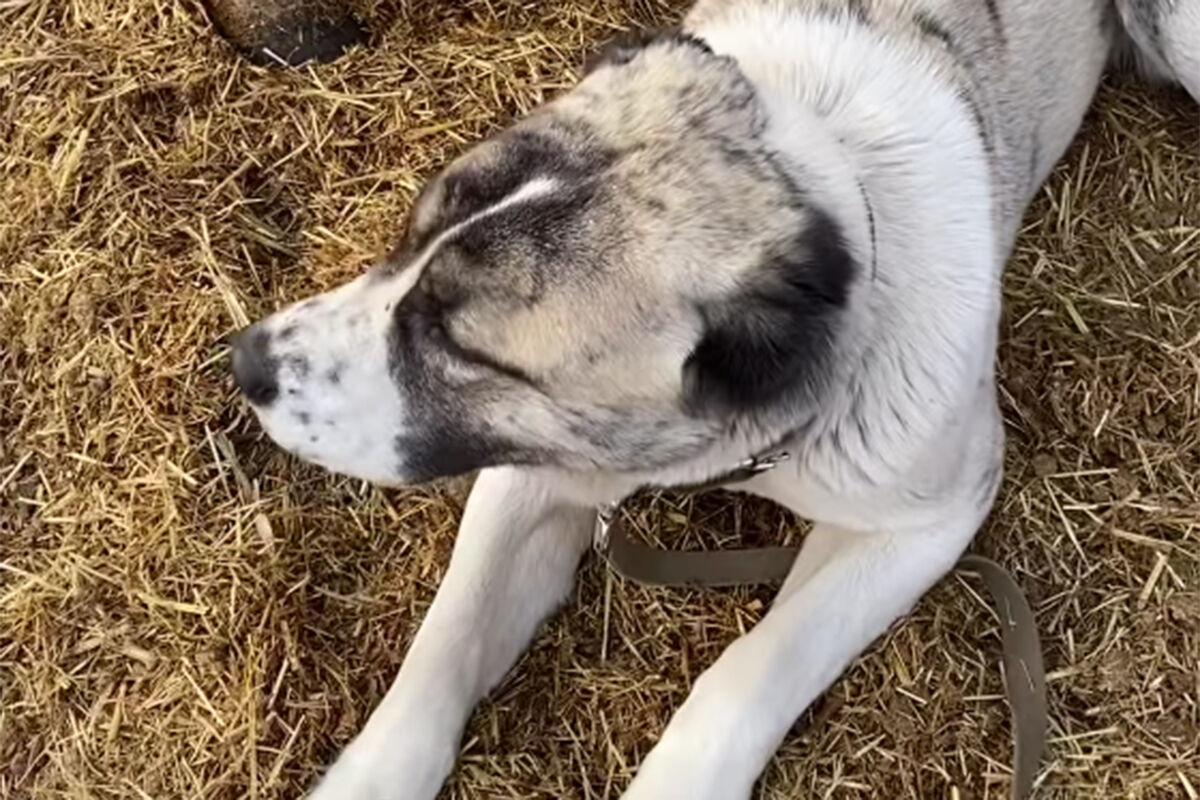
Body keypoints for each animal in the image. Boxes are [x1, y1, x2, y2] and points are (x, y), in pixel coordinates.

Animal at [229, 3, 1195, 796]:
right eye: (410, 233)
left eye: (460, 346)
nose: (246, 365)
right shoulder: (539, 470)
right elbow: (446, 642)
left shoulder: (925, 520)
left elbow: (751, 672)